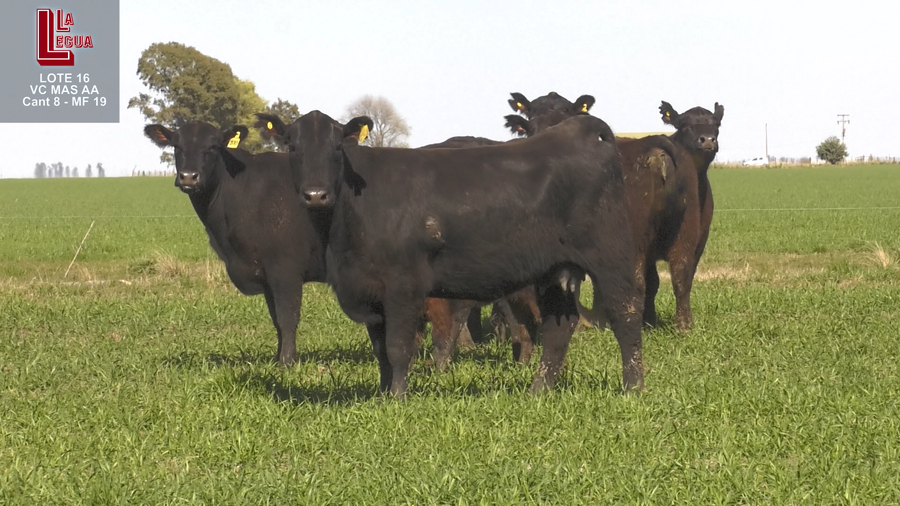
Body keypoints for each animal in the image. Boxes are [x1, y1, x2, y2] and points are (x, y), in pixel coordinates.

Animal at [142, 121, 330, 366]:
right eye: (176, 146)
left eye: (213, 146)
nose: (188, 177)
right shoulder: (266, 275)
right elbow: (276, 320)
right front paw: (277, 357)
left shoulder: (285, 268)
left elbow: (287, 317)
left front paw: (287, 362)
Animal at [257, 109, 644, 398]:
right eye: (291, 146)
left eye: (338, 146)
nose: (315, 194)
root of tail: (581, 130)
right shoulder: (369, 290)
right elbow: (381, 351)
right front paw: (382, 394)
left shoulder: (403, 285)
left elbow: (398, 347)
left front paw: (397, 399)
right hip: (556, 270)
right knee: (558, 327)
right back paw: (539, 390)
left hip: (610, 257)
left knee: (626, 315)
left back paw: (634, 388)